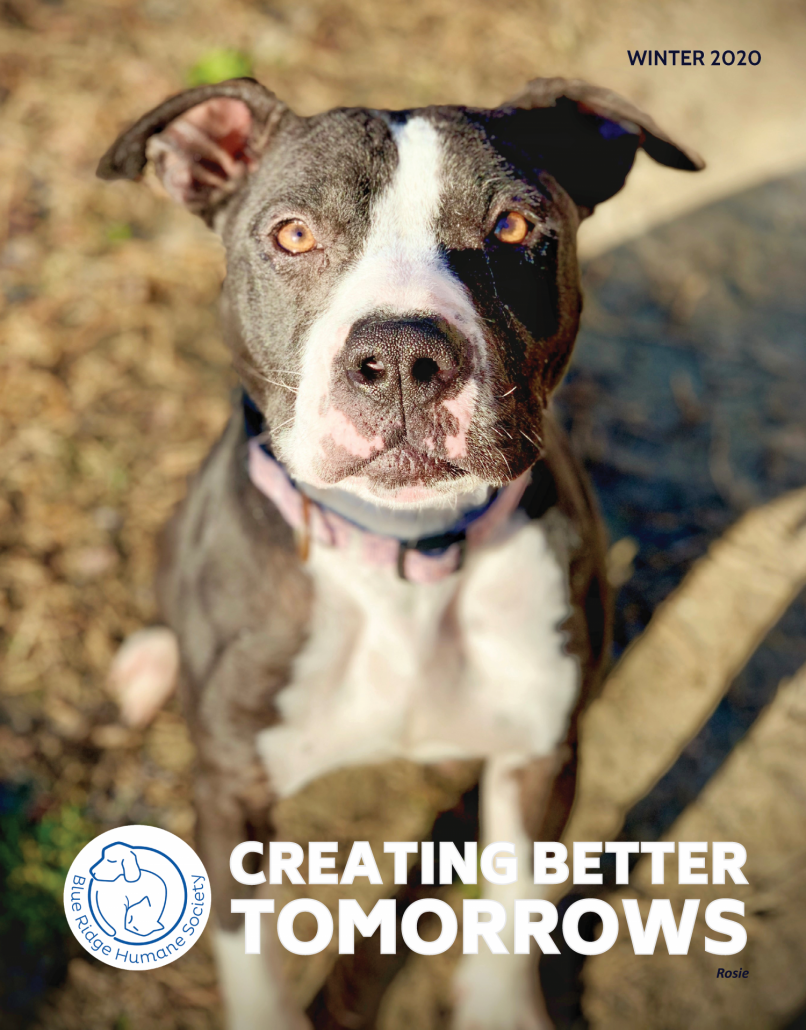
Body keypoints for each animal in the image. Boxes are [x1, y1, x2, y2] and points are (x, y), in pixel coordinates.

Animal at [97, 74, 704, 1030]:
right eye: (293, 233)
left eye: (514, 227)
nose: (402, 353)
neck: (403, 557)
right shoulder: (231, 795)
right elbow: (253, 962)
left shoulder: (540, 756)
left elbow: (512, 912)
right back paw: (154, 661)